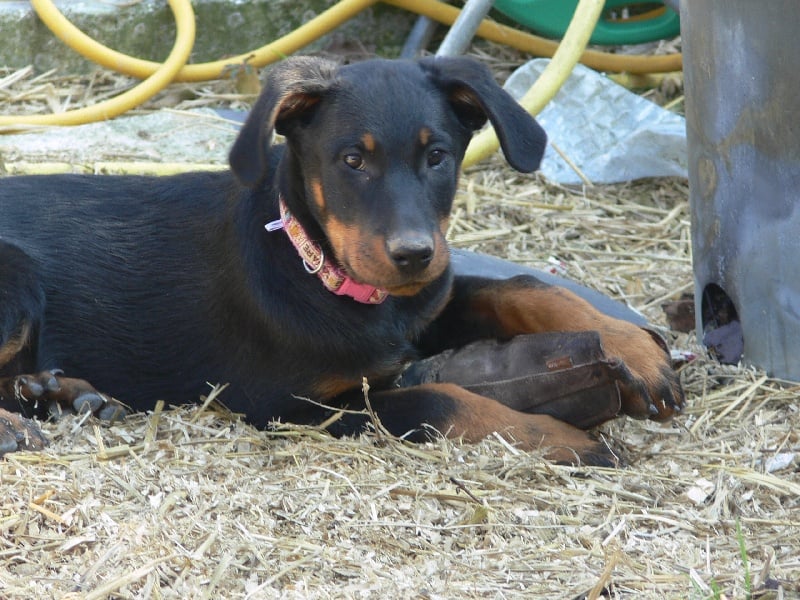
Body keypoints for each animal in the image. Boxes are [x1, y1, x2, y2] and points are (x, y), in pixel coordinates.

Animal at [0, 56, 680, 462]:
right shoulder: (288, 405)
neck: (320, 270)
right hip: (17, 282)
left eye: (438, 156)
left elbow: (520, 287)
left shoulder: (425, 304)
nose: (414, 254)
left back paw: (64, 392)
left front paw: (636, 350)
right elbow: (442, 400)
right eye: (352, 160)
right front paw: (568, 439)